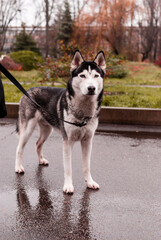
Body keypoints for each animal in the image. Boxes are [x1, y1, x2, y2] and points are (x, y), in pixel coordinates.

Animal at [15, 50, 105, 193]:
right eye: (83, 75)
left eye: (96, 75)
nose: (91, 88)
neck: (82, 111)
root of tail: (28, 90)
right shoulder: (67, 142)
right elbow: (68, 168)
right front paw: (68, 186)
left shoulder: (87, 141)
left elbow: (87, 166)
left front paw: (89, 182)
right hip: (27, 130)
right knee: (19, 148)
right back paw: (18, 167)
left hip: (47, 130)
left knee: (38, 143)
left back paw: (41, 160)